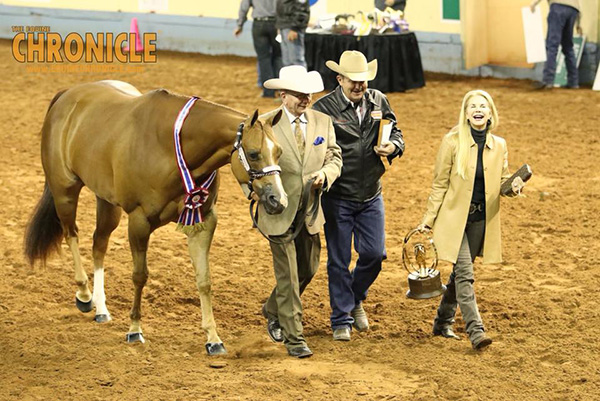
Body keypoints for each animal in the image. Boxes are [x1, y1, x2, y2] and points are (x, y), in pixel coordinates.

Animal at [23, 79, 286, 354]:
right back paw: (84, 295)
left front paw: (213, 338)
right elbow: (140, 276)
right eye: (254, 153)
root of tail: (67, 95)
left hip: (107, 202)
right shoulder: (139, 220)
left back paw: (101, 308)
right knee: (71, 234)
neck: (172, 147)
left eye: (279, 152)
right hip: (65, 191)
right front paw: (134, 330)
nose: (277, 200)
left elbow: (204, 280)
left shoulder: (202, 221)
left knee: (99, 244)